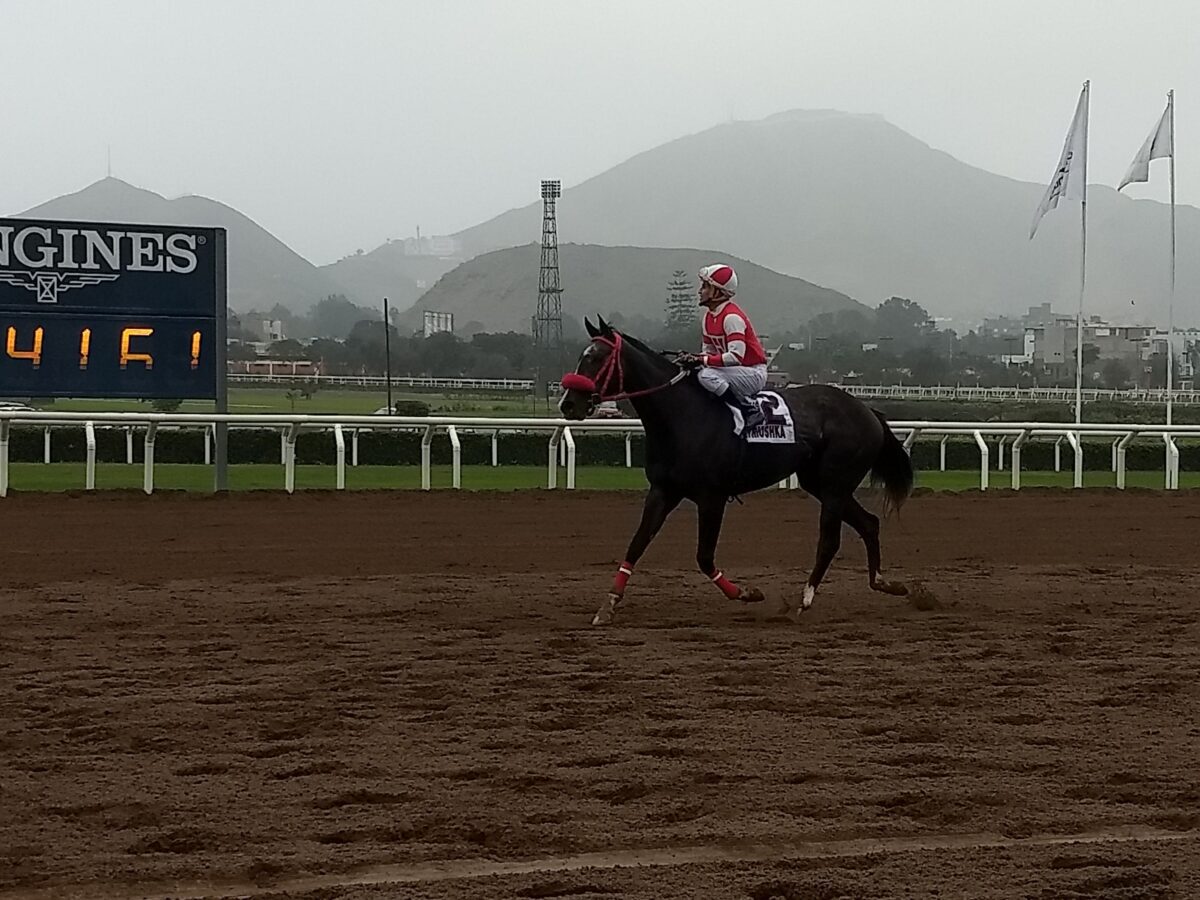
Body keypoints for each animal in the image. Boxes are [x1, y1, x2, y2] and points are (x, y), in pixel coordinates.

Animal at [558, 316, 914, 626]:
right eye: (581, 356)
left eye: (596, 357)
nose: (568, 404)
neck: (682, 417)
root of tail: (867, 409)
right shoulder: (663, 491)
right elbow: (637, 544)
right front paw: (608, 605)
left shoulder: (711, 497)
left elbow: (704, 557)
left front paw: (746, 592)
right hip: (820, 482)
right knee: (869, 523)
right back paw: (884, 583)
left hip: (835, 485)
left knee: (830, 539)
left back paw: (805, 599)